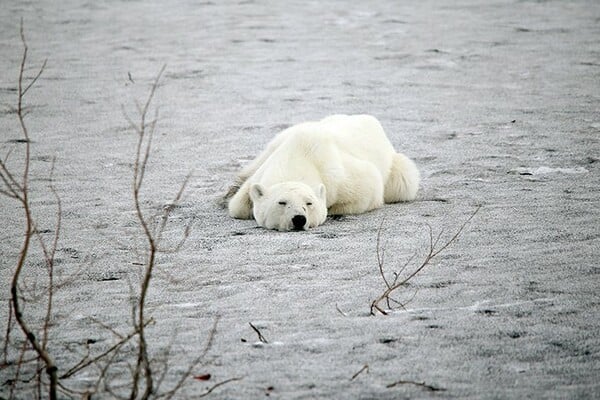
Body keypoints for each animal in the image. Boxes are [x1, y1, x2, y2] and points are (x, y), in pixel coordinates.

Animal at [226, 114, 422, 230]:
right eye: (282, 202)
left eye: (309, 203)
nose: (299, 219)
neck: (299, 156)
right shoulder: (265, 168)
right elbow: (237, 206)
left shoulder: (338, 176)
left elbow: (368, 187)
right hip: (280, 139)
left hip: (396, 170)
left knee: (403, 182)